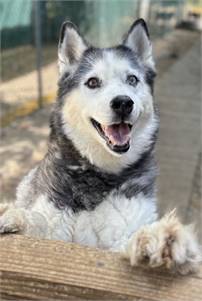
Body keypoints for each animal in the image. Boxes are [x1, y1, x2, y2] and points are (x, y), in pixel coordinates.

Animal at [0, 18, 201, 272]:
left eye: (132, 79)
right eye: (93, 82)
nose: (123, 102)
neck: (99, 174)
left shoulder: (115, 240)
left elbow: (129, 241)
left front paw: (161, 239)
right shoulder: (56, 227)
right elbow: (40, 223)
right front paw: (17, 219)